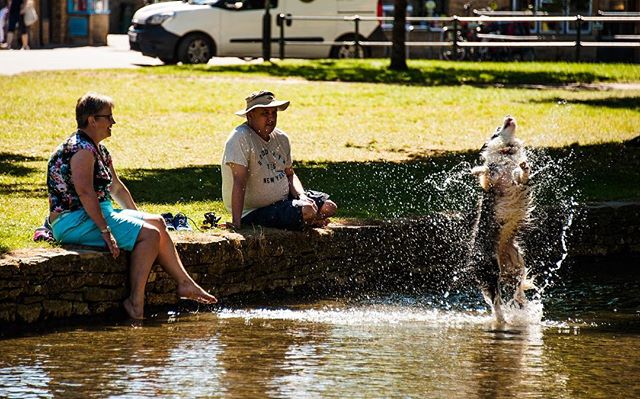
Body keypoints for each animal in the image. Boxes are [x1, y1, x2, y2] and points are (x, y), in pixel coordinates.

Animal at [468, 117, 532, 324]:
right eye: (497, 128)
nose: (509, 116)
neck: (507, 151)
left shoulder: (518, 180)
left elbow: (521, 175)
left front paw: (525, 167)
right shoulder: (491, 182)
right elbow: (487, 172)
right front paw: (477, 169)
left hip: (517, 262)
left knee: (517, 288)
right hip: (490, 269)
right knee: (496, 301)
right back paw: (503, 319)